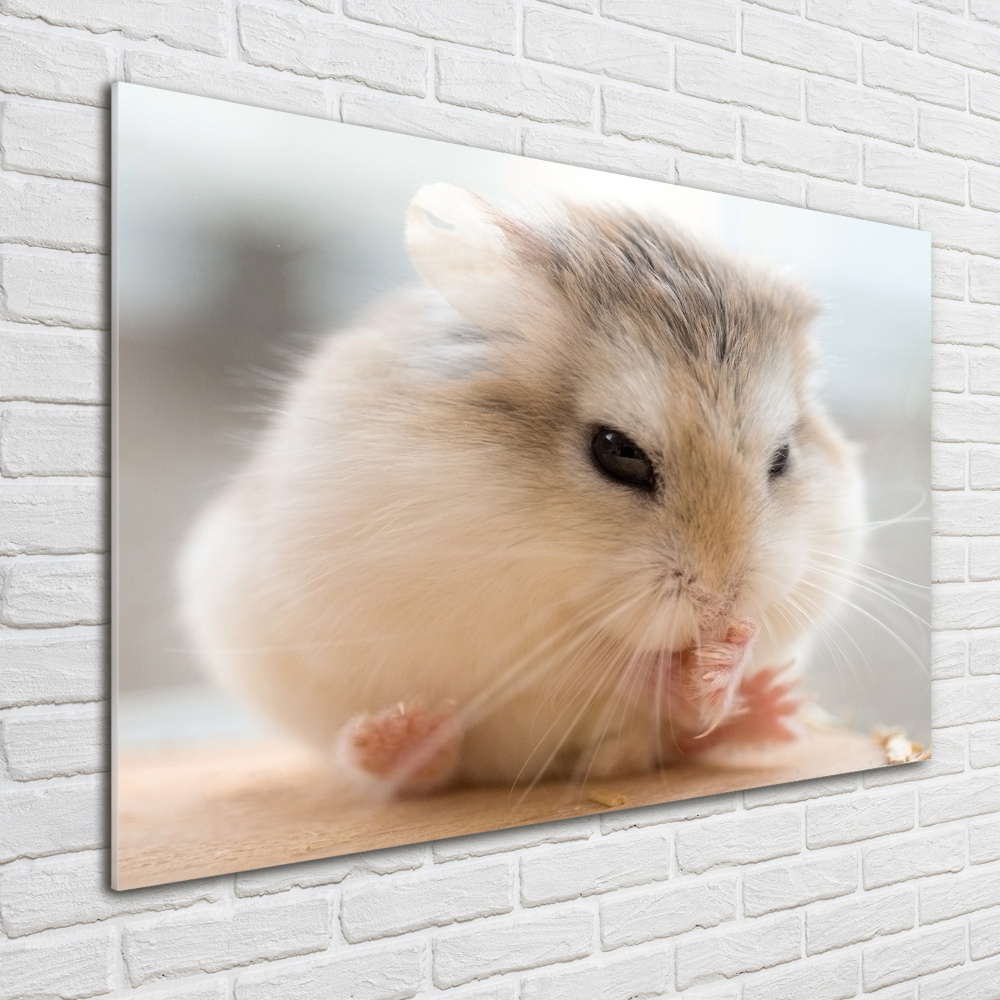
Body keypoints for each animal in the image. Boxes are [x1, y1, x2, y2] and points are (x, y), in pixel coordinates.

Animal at [180, 182, 868, 796]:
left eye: (782, 457)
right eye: (617, 452)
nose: (722, 608)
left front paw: (727, 660)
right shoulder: (486, 613)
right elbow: (593, 662)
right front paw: (691, 662)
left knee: (679, 741)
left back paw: (771, 706)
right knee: (420, 770)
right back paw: (401, 737)